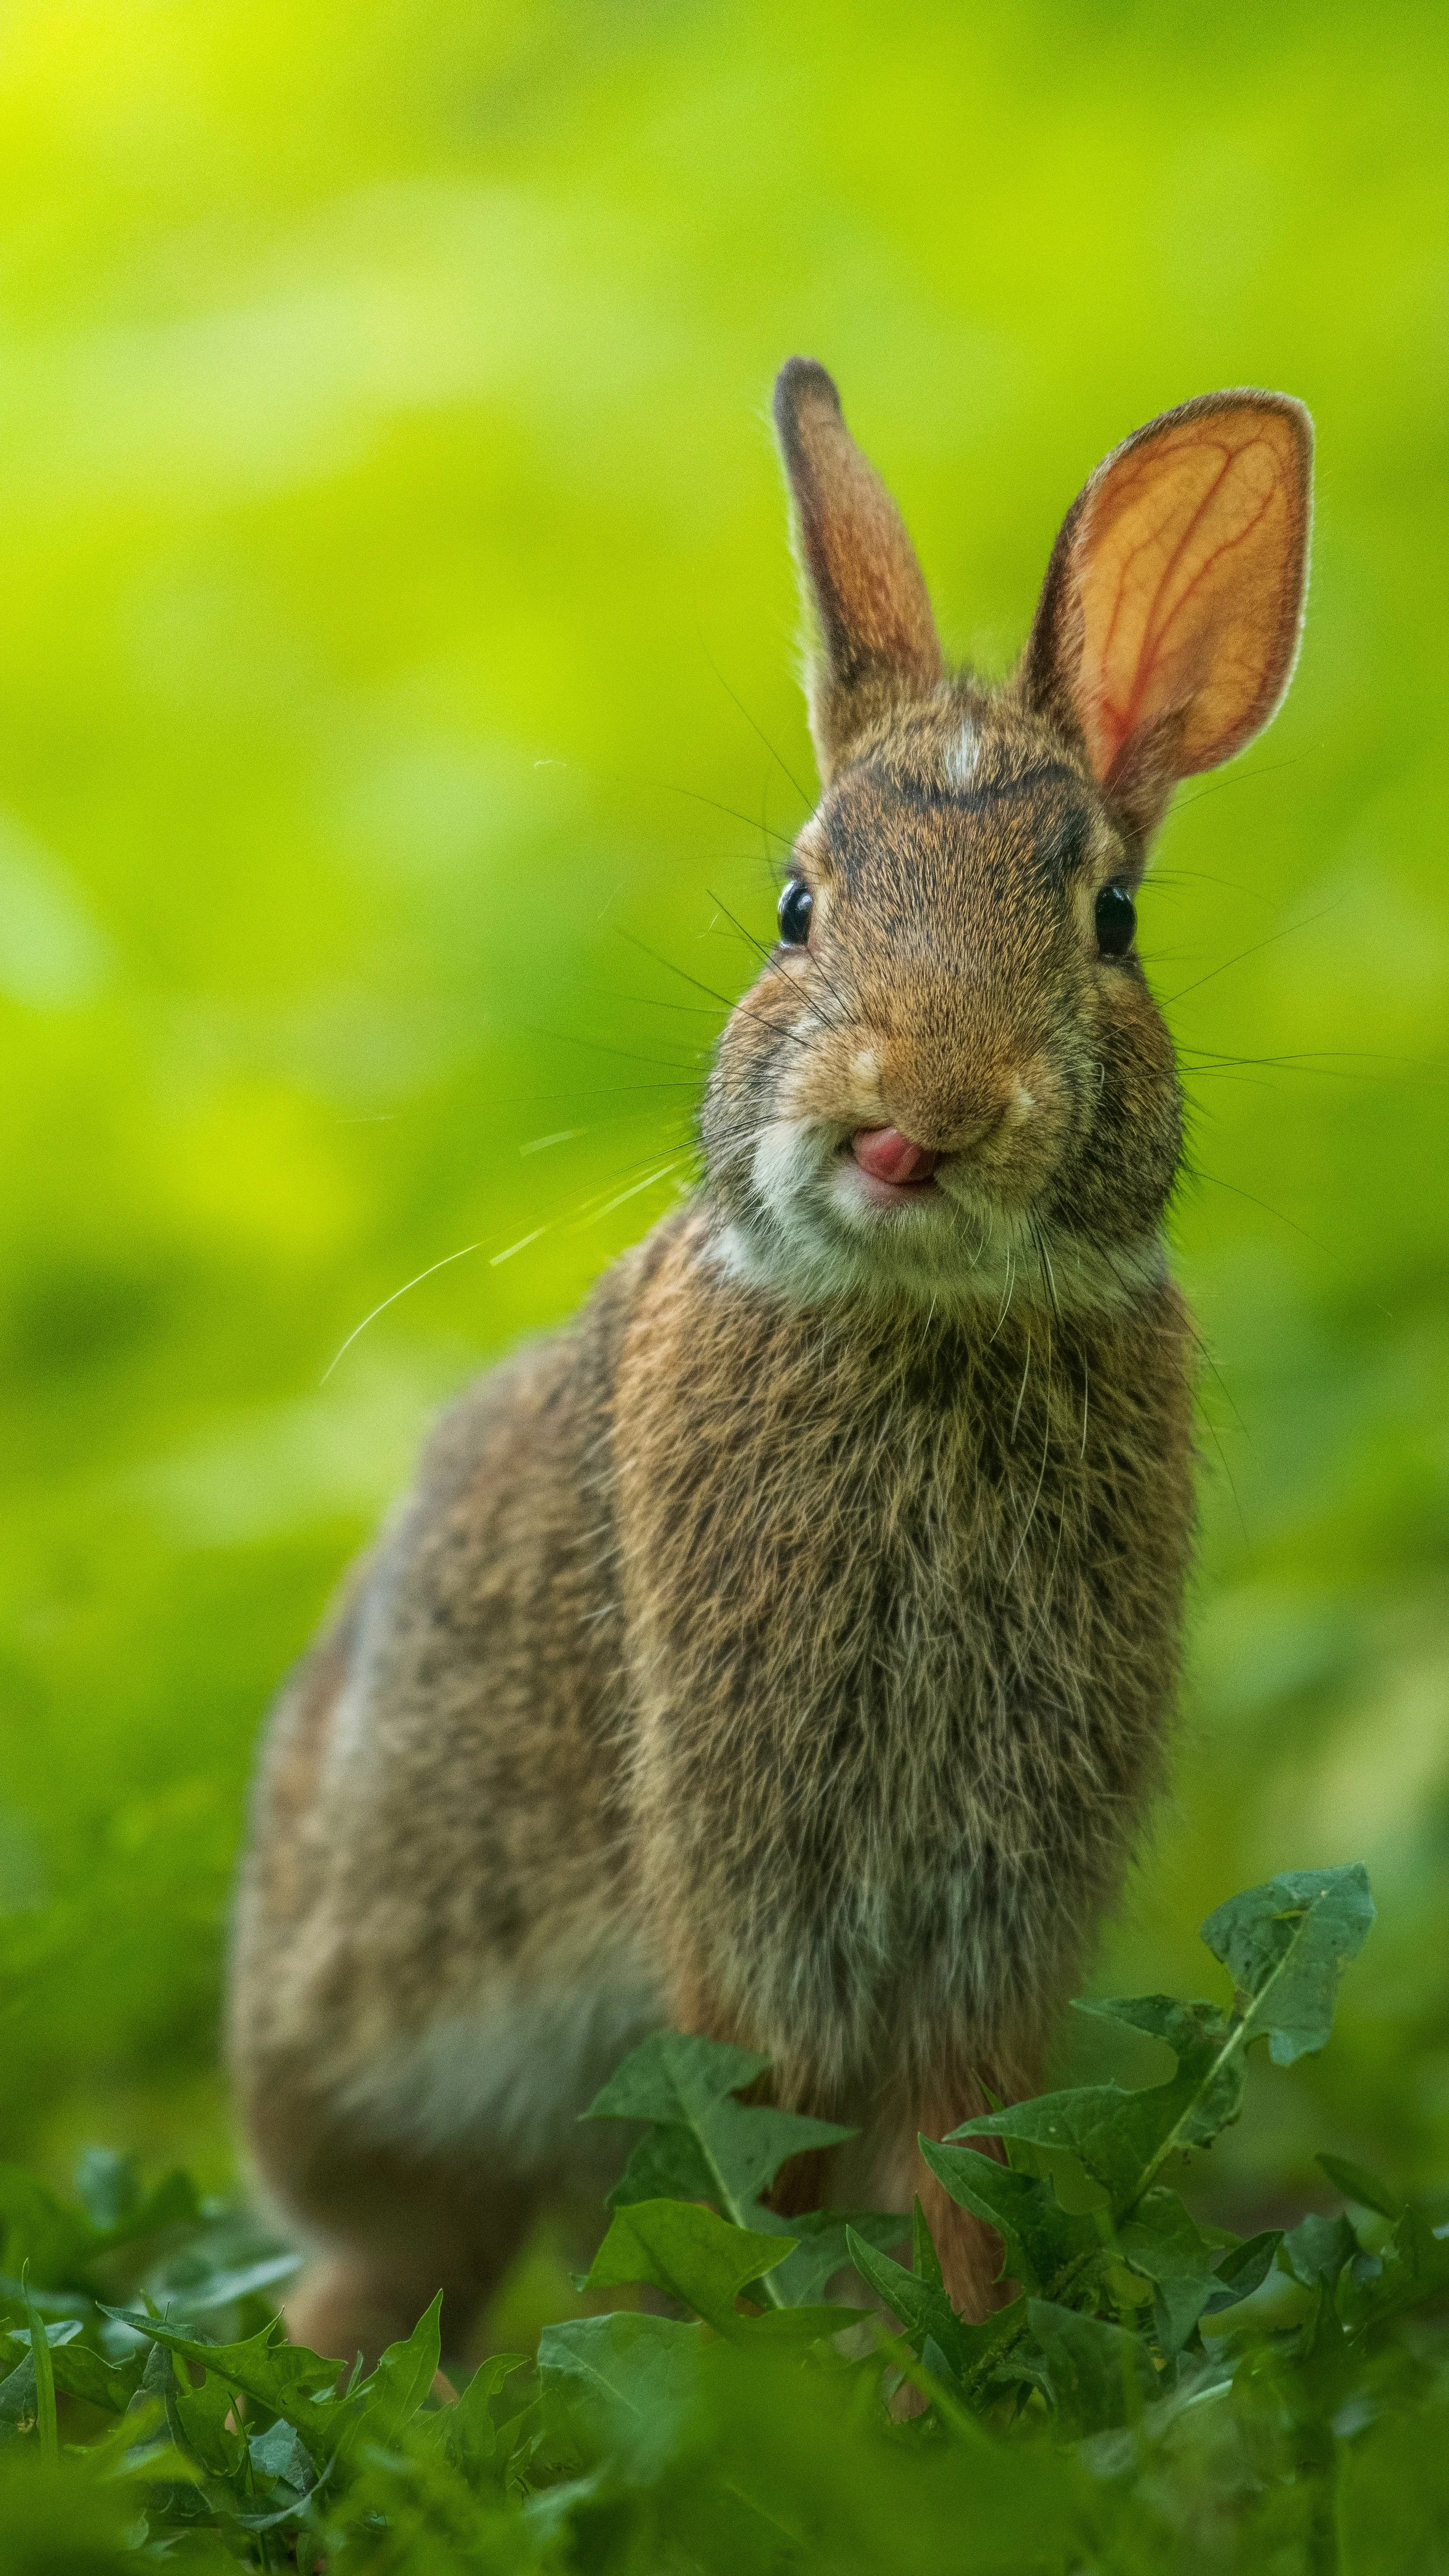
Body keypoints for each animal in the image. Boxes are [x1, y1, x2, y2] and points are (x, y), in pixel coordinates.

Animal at [229, 358, 1313, 2362]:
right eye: (798, 906)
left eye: (1109, 922)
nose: (916, 1113)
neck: (921, 1325)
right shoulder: (755, 1895)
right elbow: (767, 2146)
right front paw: (773, 2380)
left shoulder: (986, 1916)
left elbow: (959, 2154)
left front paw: (954, 2375)